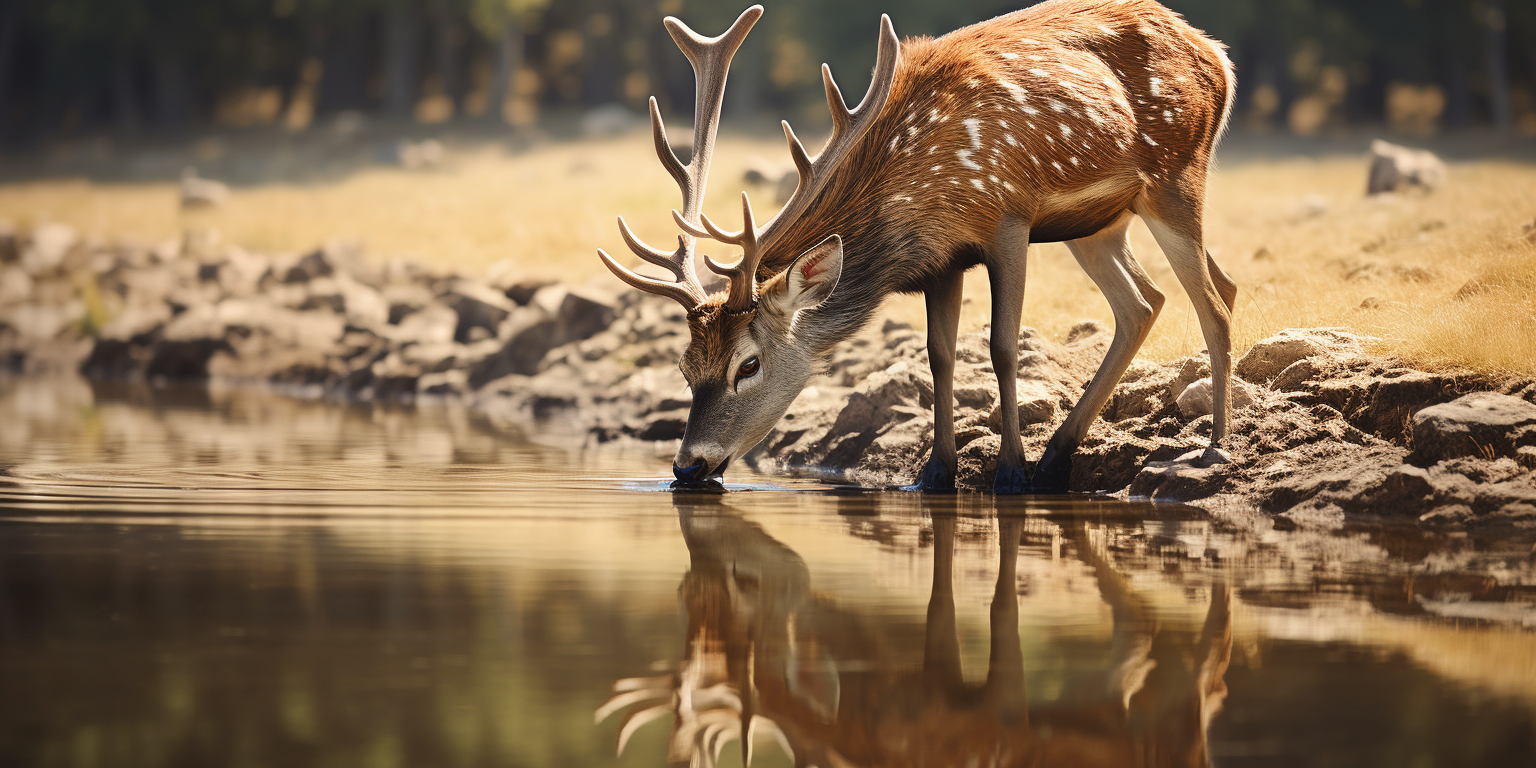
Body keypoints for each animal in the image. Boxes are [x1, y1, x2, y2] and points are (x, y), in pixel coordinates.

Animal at [592, 0, 1241, 491]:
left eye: (747, 364)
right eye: (684, 364)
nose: (688, 466)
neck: (919, 198)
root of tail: (1219, 55)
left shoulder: (1007, 217)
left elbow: (1001, 346)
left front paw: (1010, 473)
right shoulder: (942, 262)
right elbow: (940, 355)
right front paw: (935, 473)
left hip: (1176, 172)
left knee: (1214, 300)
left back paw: (1213, 448)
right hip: (1099, 225)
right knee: (1150, 300)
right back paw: (1059, 457)